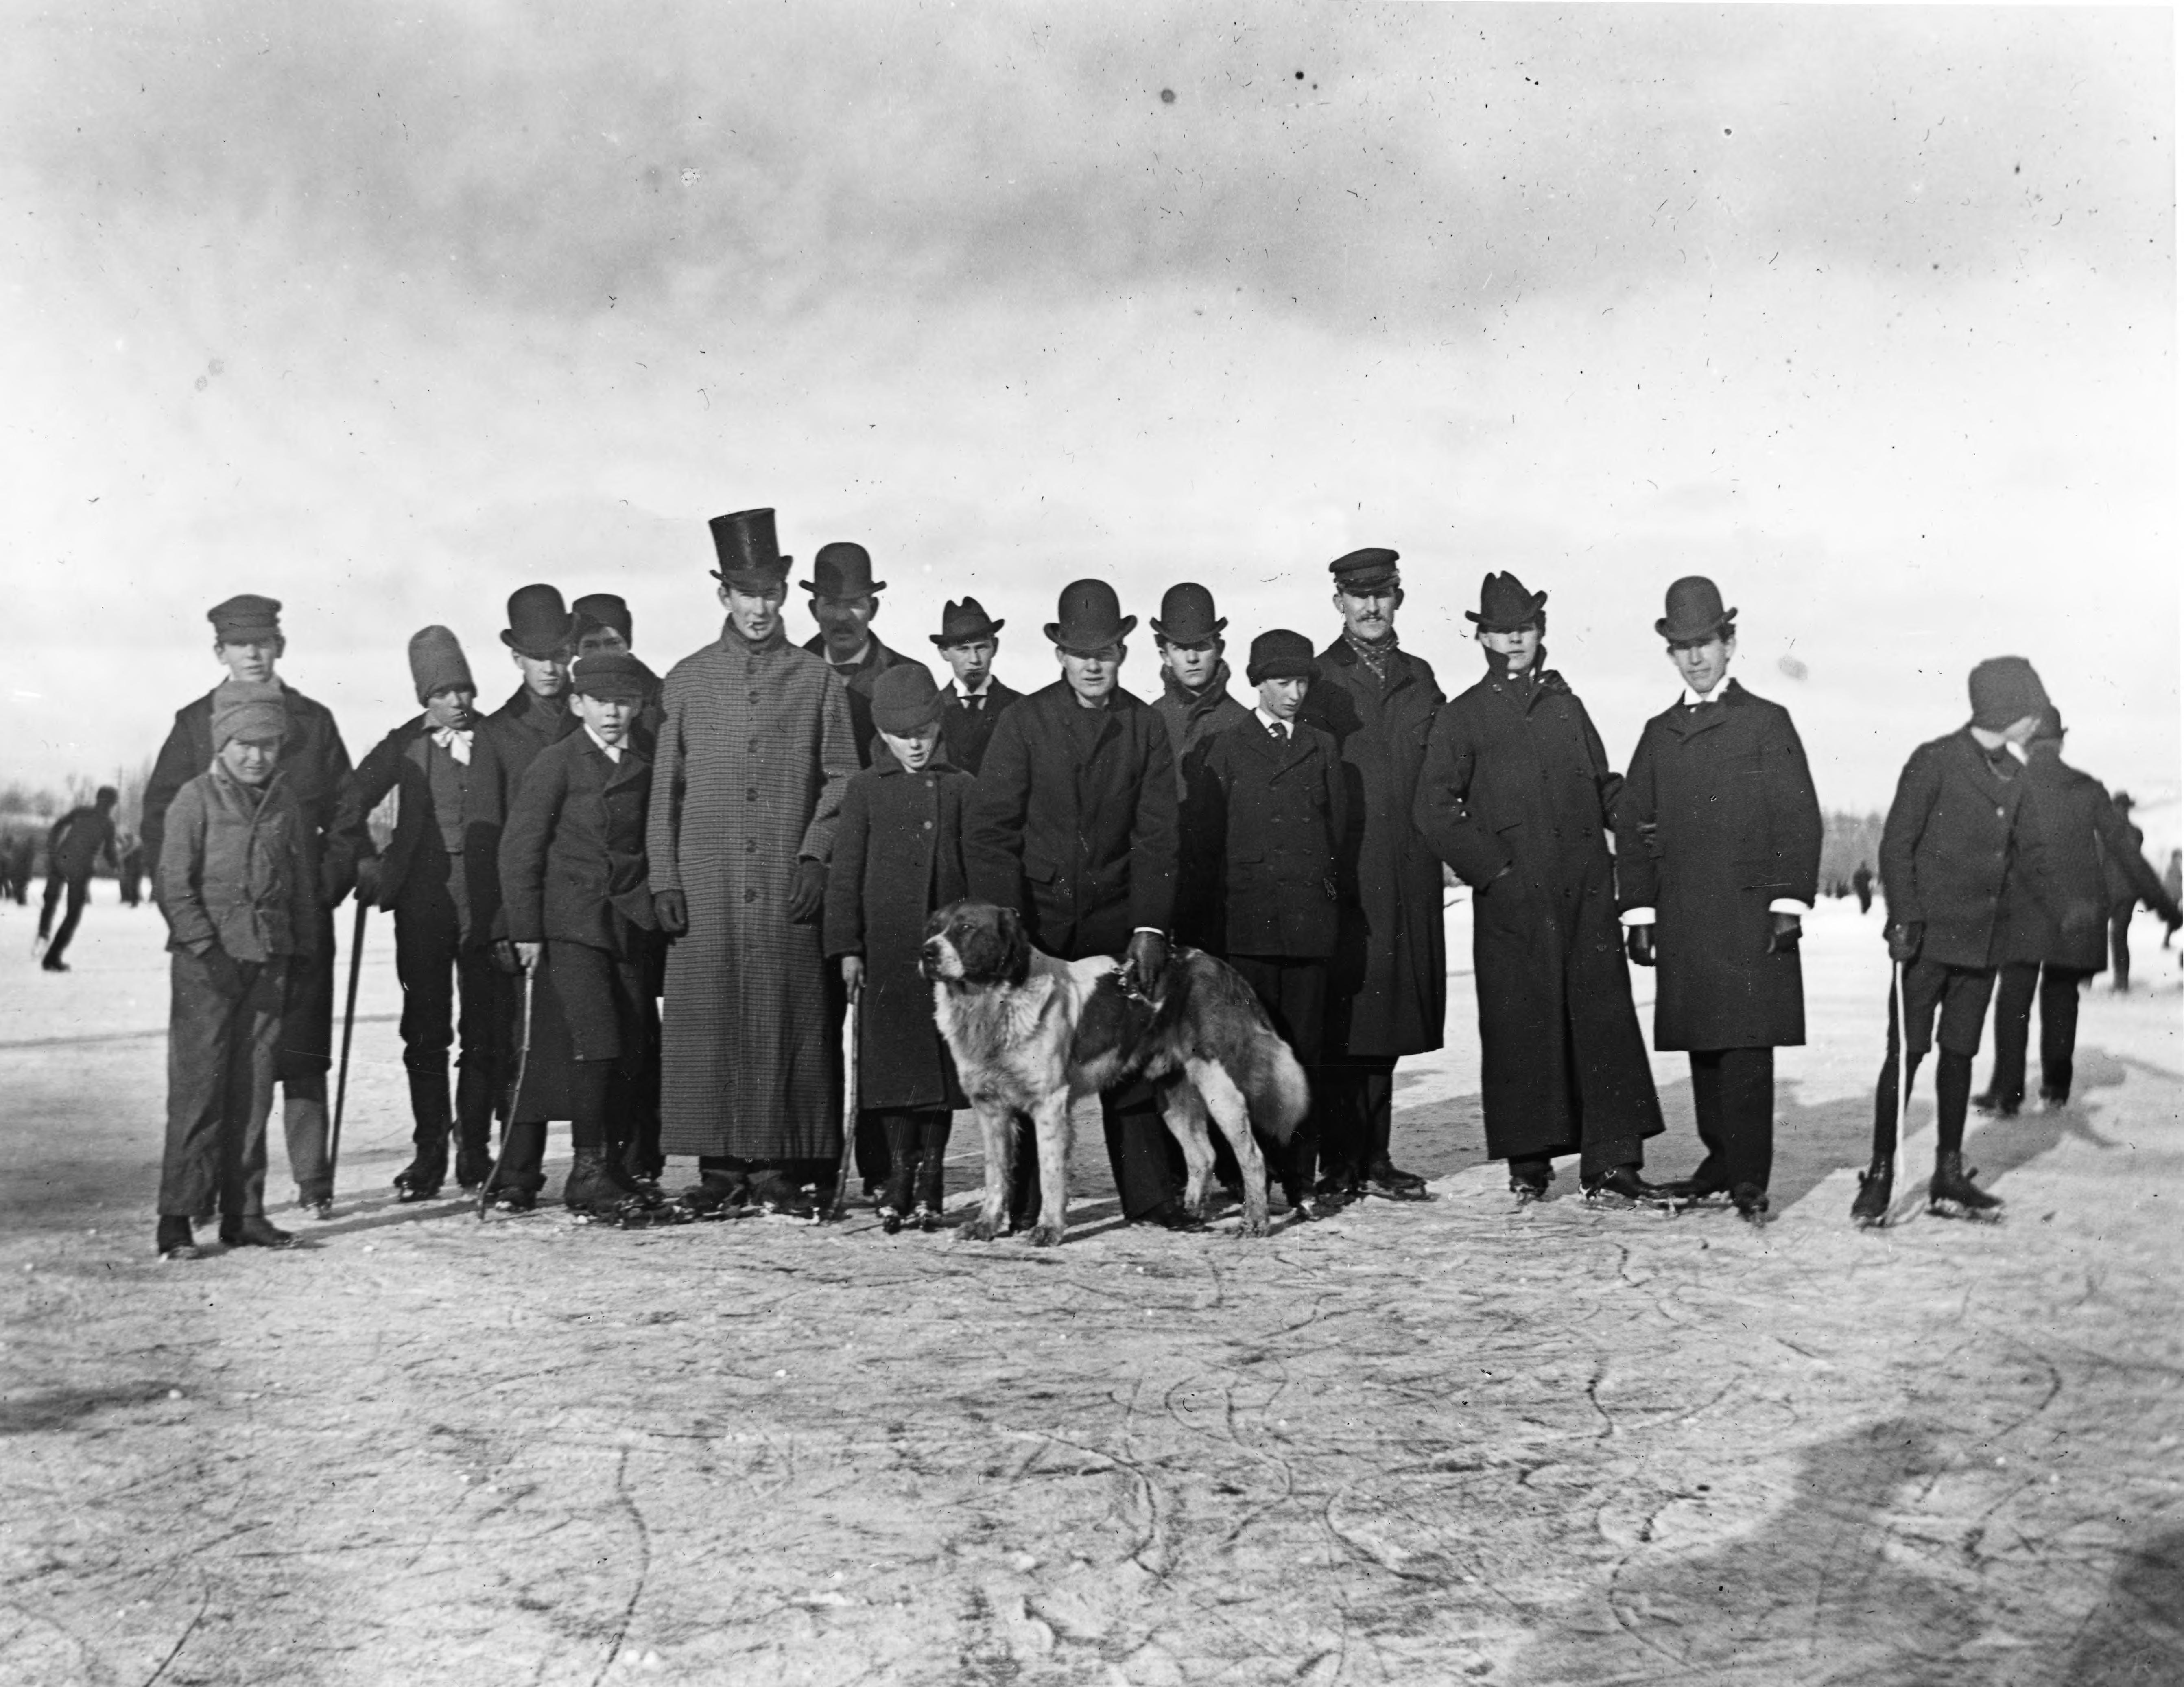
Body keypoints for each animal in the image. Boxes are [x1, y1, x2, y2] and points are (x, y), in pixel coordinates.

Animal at [913, 905, 1302, 1241]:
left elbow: (1050, 1171)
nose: (927, 952)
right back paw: (1190, 1214)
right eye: (933, 928)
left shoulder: (1050, 1104)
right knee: (1203, 1155)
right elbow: (996, 1172)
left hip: (1219, 1085)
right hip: (1173, 1094)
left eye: (966, 928)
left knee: (1252, 1156)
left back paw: (1255, 1223)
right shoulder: (990, 1108)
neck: (992, 1003)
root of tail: (1216, 964)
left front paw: (1048, 1229)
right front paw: (987, 1226)